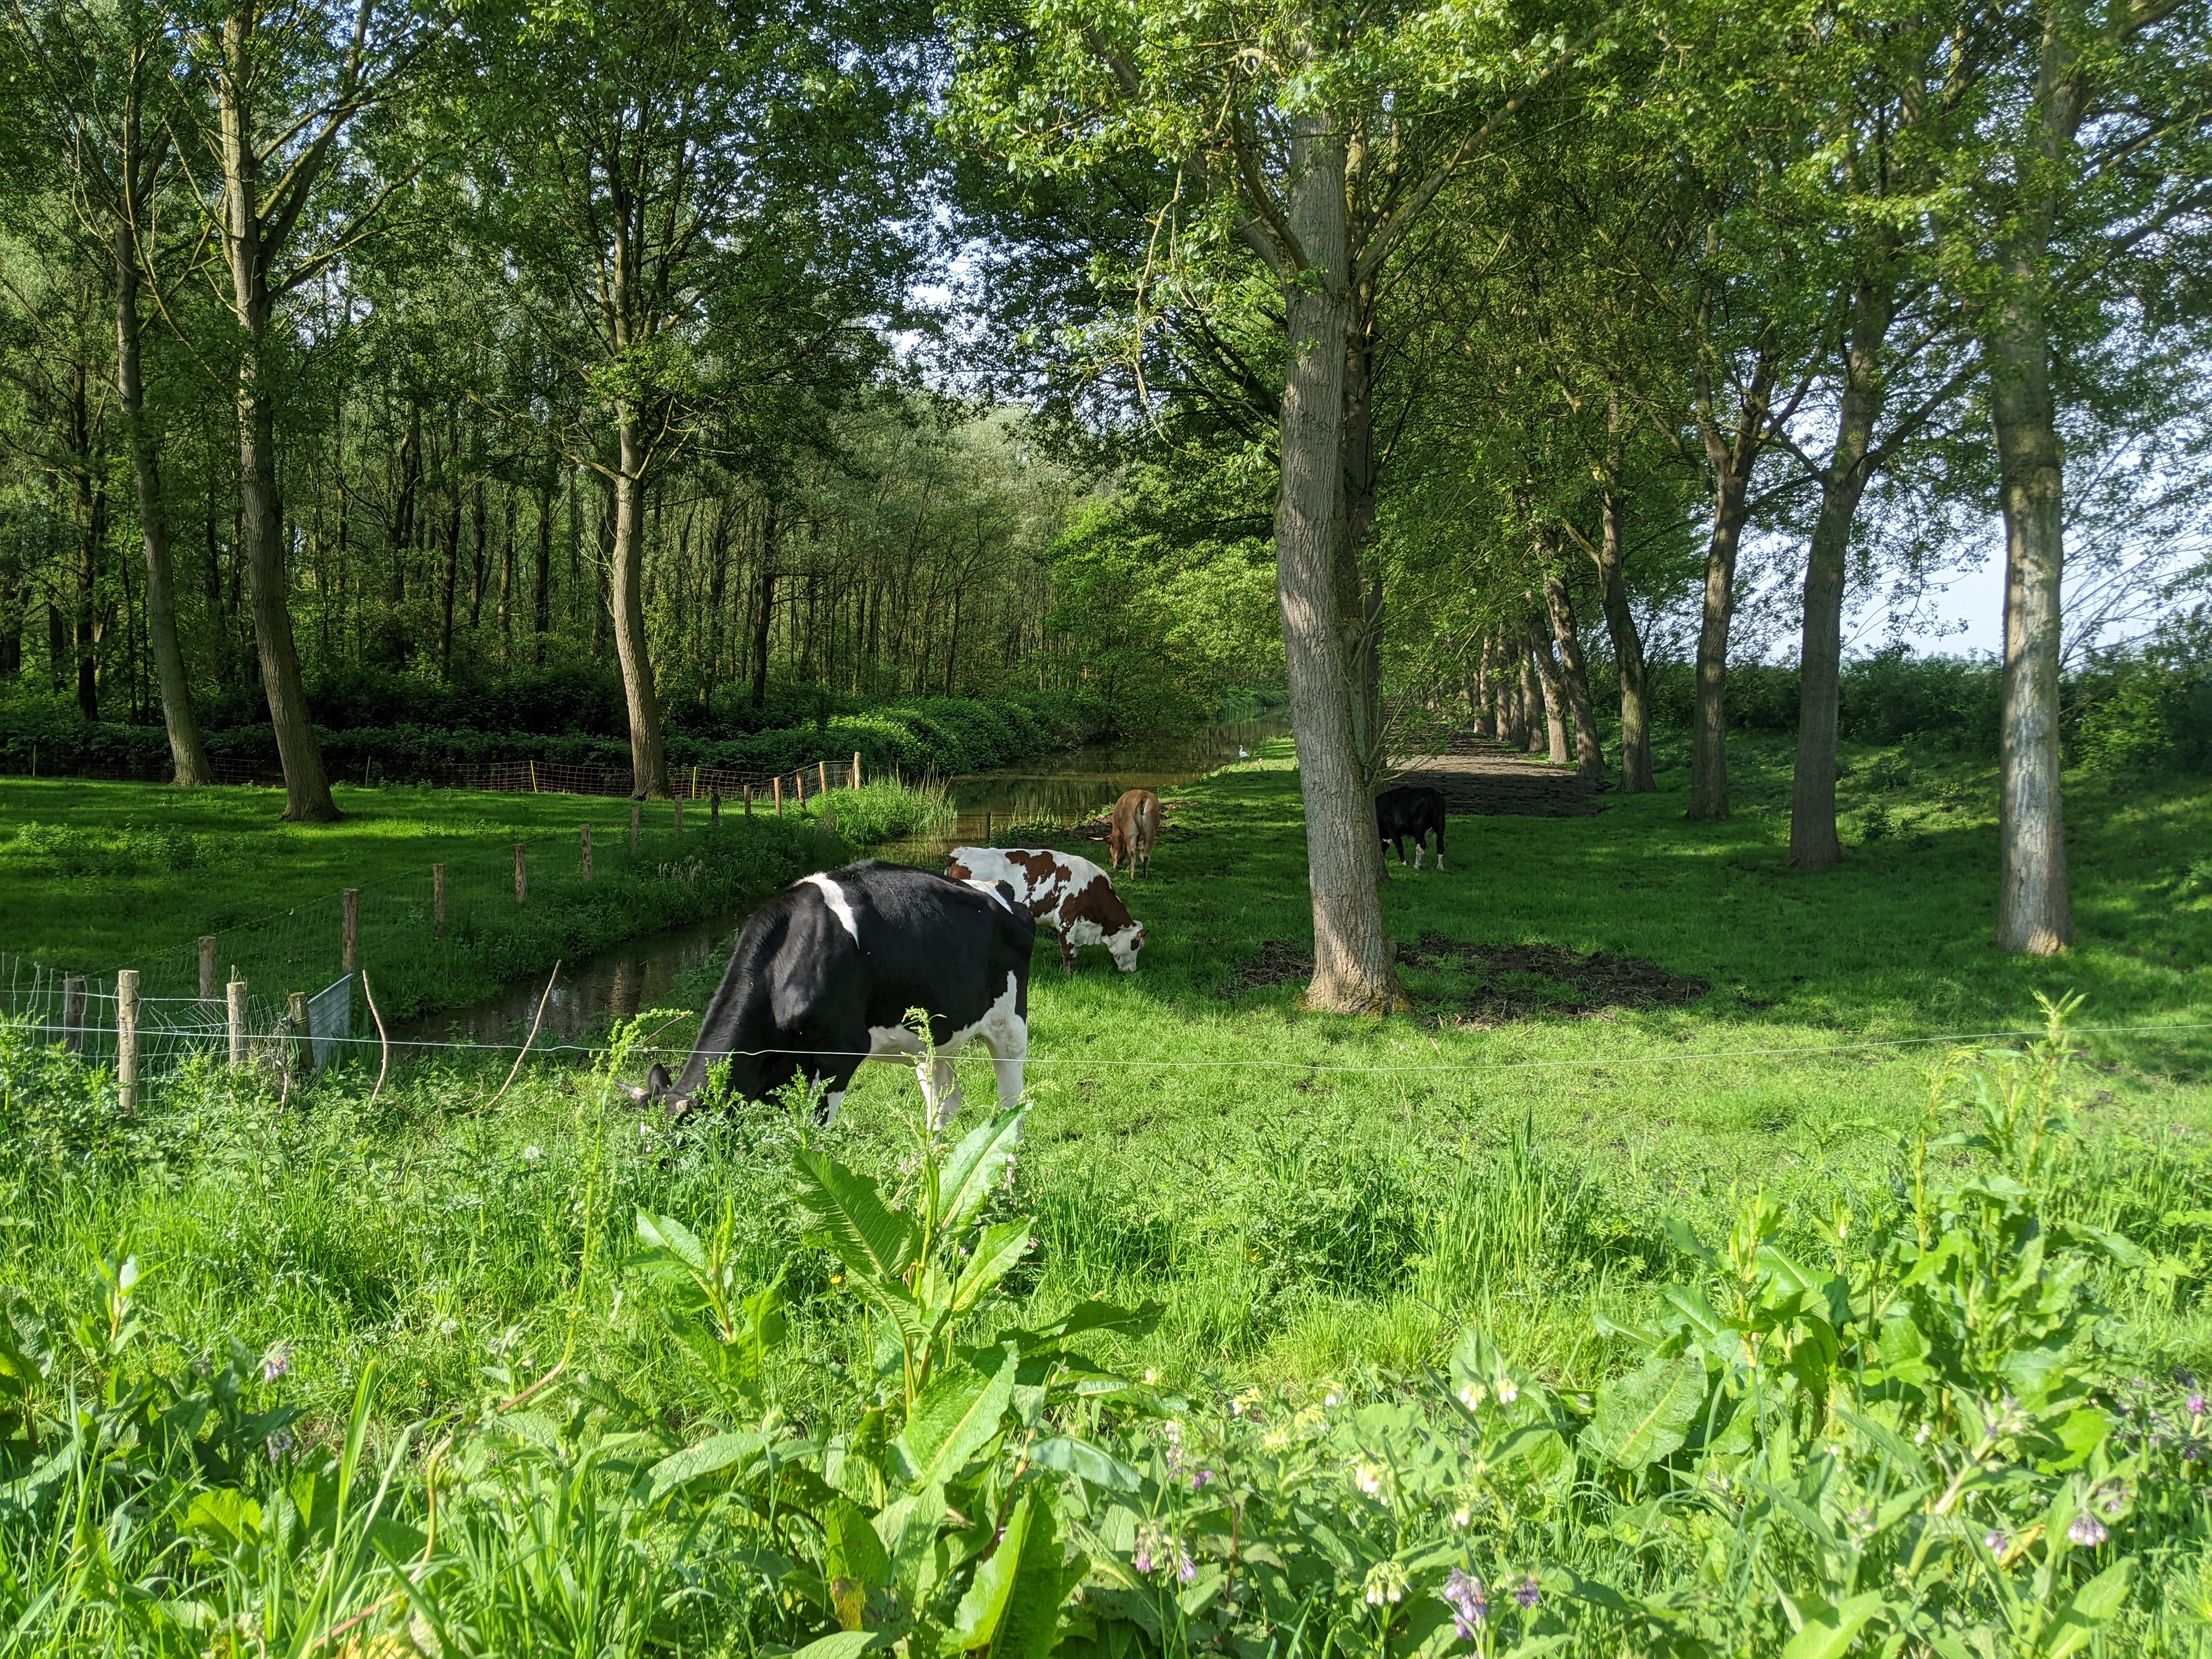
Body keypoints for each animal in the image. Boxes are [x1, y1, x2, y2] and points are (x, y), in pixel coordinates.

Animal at [636, 860, 1035, 1127]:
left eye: (678, 1143)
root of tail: (1001, 891)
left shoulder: (837, 1058)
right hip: (931, 1039)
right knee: (944, 1104)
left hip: (1011, 1029)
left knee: (1011, 1105)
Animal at [945, 846, 1144, 973]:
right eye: (1137, 945)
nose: (1133, 970)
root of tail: (961, 852)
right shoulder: (1066, 919)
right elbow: (1068, 951)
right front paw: (1070, 977)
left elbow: (1073, 952)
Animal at [1108, 788, 1161, 878]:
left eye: (1111, 848)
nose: (1113, 864)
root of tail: (1142, 795)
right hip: (1151, 832)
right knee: (1146, 854)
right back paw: (1145, 874)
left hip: (1130, 833)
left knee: (1133, 853)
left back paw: (1132, 876)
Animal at [1375, 785, 1447, 870]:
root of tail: (1432, 792)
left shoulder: (1393, 830)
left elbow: (1399, 846)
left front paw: (1404, 864)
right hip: (1440, 824)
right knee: (1440, 845)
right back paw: (1440, 868)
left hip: (1419, 826)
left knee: (1421, 845)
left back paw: (1416, 867)